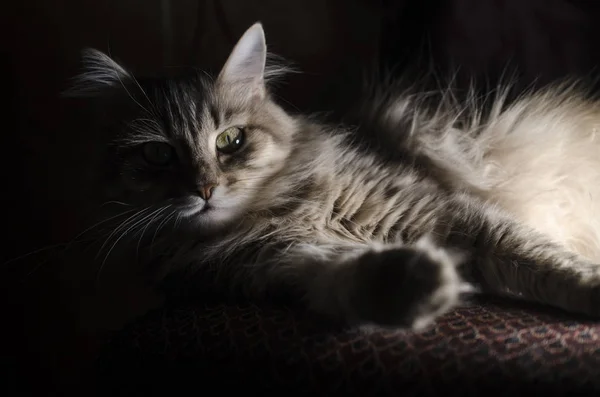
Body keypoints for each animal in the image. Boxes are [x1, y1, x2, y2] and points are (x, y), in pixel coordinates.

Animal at [65, 23, 600, 330]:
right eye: (158, 155)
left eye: (230, 140)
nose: (205, 189)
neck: (279, 212)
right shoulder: (289, 268)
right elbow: (348, 283)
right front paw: (418, 285)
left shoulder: (447, 211)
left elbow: (538, 259)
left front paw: (590, 286)